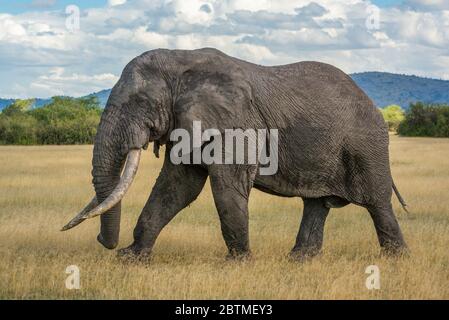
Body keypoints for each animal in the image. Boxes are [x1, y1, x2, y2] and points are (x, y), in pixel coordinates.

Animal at [61, 47, 408, 262]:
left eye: (140, 103)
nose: (103, 242)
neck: (182, 59)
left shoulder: (237, 124)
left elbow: (225, 186)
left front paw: (238, 262)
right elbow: (177, 187)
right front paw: (131, 258)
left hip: (366, 146)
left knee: (377, 203)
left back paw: (396, 260)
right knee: (316, 205)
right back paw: (298, 260)